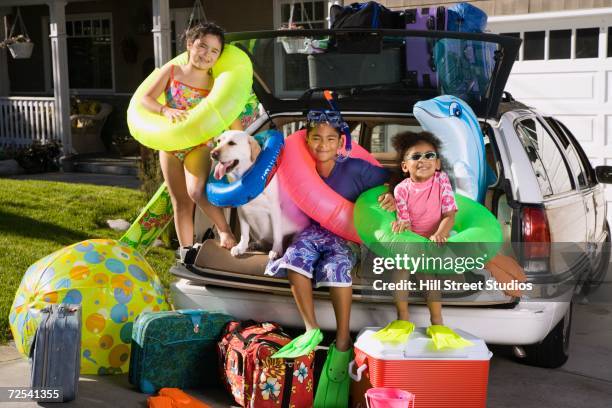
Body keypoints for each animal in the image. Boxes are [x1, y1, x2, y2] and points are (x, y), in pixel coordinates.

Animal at [212, 129, 310, 260]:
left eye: (232, 143)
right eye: (218, 141)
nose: (213, 154)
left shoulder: (275, 211)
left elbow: (277, 234)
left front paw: (276, 250)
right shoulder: (242, 212)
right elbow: (244, 234)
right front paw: (241, 247)